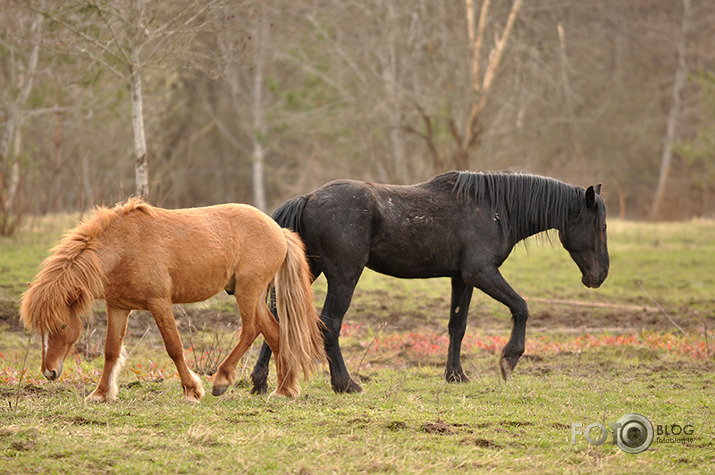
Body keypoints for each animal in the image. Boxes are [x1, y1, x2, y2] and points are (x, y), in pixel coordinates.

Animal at [20, 199, 324, 404]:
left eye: (61, 326)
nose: (49, 372)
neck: (124, 247)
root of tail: (279, 231)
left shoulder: (159, 303)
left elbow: (174, 347)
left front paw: (192, 390)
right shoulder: (118, 307)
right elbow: (110, 351)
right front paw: (100, 394)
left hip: (247, 292)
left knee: (250, 331)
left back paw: (222, 379)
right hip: (254, 295)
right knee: (275, 333)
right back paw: (284, 389)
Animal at [249, 171, 608, 394]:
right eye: (601, 226)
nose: (600, 275)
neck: (494, 210)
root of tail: (309, 198)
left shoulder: (462, 280)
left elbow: (457, 326)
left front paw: (456, 375)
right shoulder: (482, 273)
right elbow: (521, 307)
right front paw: (509, 359)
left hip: (310, 271)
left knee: (278, 317)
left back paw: (262, 382)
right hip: (343, 277)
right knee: (330, 324)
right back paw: (345, 384)